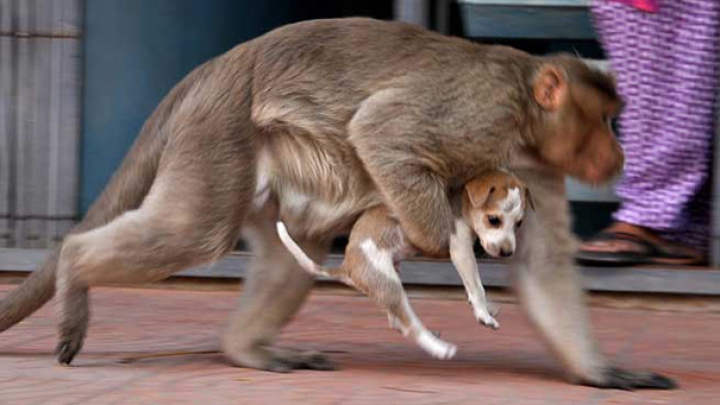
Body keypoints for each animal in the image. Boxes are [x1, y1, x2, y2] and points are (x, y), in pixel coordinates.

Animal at [276, 169, 528, 358]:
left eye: (519, 223)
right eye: (494, 220)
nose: (508, 252)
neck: (460, 200)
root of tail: (347, 266)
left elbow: (475, 286)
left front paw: (488, 306)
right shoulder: (460, 249)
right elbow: (476, 285)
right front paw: (484, 314)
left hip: (392, 276)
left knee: (397, 322)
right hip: (389, 285)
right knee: (409, 326)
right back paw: (439, 349)